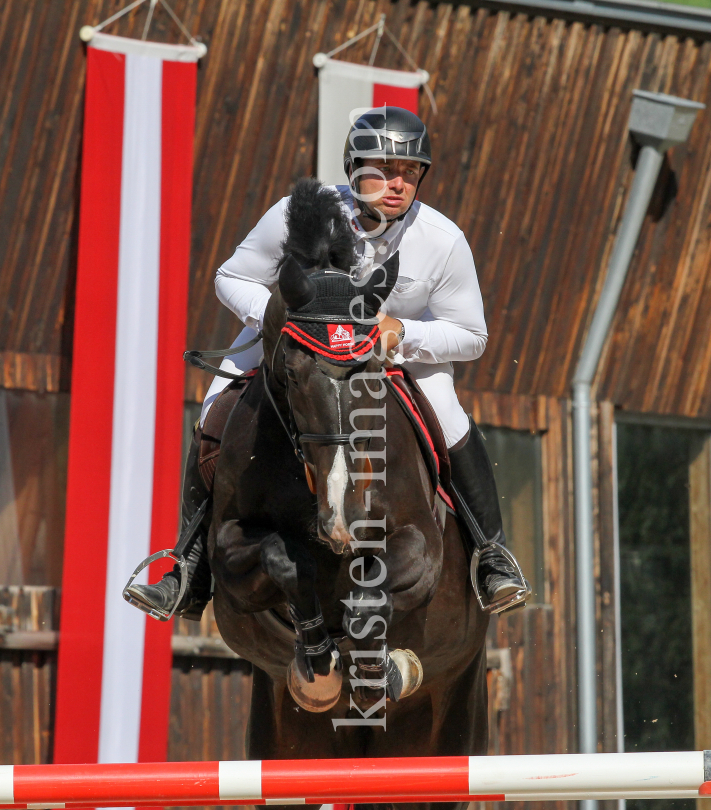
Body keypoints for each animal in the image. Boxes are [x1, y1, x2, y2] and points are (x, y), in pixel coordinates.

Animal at [206, 177, 490, 800]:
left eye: (371, 374)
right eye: (290, 375)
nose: (342, 518)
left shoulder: (420, 549)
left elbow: (370, 596)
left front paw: (379, 669)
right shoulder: (230, 555)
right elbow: (282, 558)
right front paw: (319, 664)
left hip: (445, 728)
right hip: (287, 747)